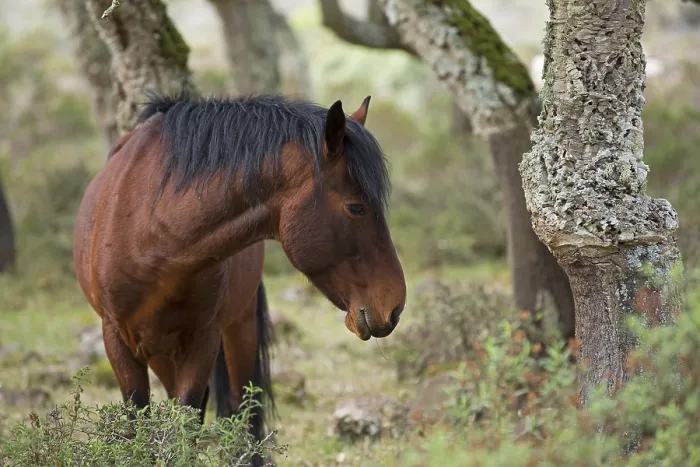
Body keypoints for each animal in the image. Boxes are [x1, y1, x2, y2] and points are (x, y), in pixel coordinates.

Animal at [72, 92, 407, 464]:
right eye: (356, 207)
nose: (394, 306)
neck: (153, 233)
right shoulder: (116, 340)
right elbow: (138, 429)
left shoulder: (203, 341)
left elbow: (186, 427)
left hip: (238, 330)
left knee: (244, 413)